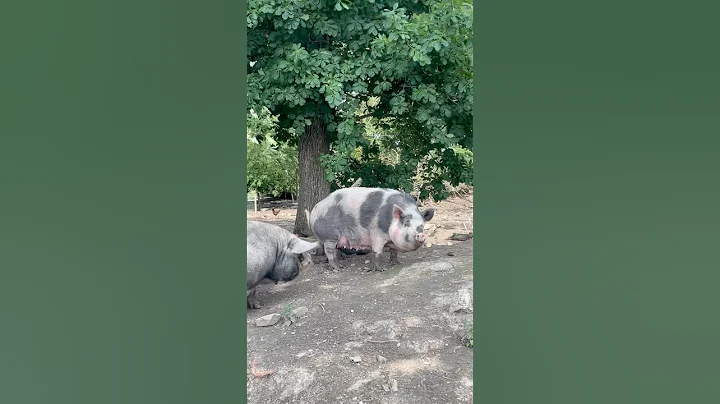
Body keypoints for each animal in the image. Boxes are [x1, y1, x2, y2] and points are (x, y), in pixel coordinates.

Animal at [305, 187, 435, 272]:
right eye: (407, 223)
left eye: (422, 225)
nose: (420, 234)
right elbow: (377, 252)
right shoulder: (377, 234)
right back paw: (338, 268)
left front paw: (396, 263)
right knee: (329, 251)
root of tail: (315, 210)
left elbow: (394, 252)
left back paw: (340, 265)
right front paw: (381, 269)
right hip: (330, 236)